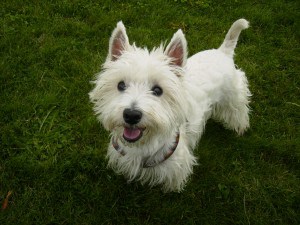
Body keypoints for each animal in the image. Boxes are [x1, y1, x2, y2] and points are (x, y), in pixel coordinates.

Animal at [89, 19, 251, 192]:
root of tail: (223, 52)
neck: (142, 145)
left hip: (233, 95)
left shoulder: (176, 164)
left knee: (239, 109)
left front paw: (172, 189)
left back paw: (240, 126)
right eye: (120, 85)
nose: (131, 115)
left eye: (158, 90)